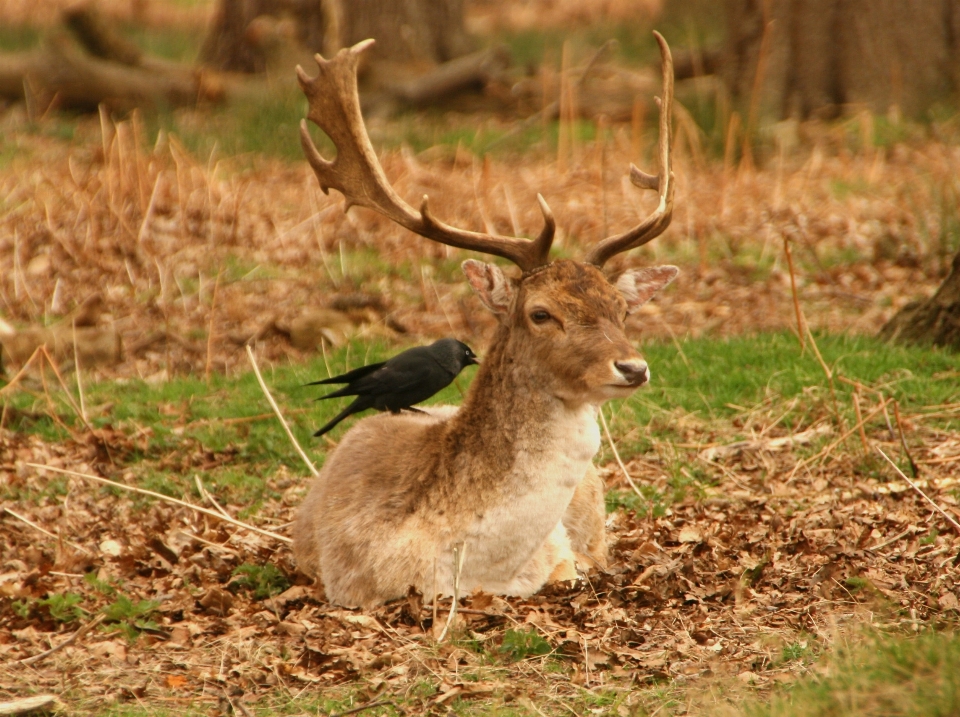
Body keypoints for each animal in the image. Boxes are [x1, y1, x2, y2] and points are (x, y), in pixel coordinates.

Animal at [296, 32, 680, 604]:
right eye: (541, 313)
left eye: (621, 308)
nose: (633, 367)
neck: (476, 567)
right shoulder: (347, 584)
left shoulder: (563, 556)